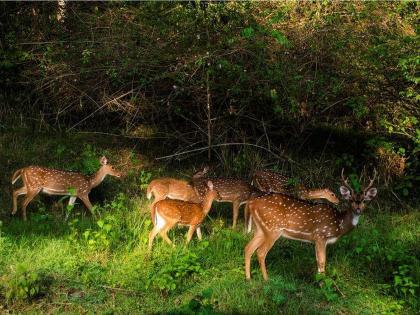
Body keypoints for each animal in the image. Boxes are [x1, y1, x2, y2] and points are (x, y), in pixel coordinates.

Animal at [243, 170, 378, 282]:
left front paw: (318, 281)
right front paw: (322, 285)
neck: (339, 224)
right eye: (351, 200)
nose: (358, 209)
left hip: (261, 229)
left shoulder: (316, 240)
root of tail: (251, 203)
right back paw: (267, 279)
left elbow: (318, 261)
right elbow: (322, 262)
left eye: (365, 201)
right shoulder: (320, 236)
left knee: (248, 248)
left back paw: (248, 278)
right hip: (273, 229)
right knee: (260, 252)